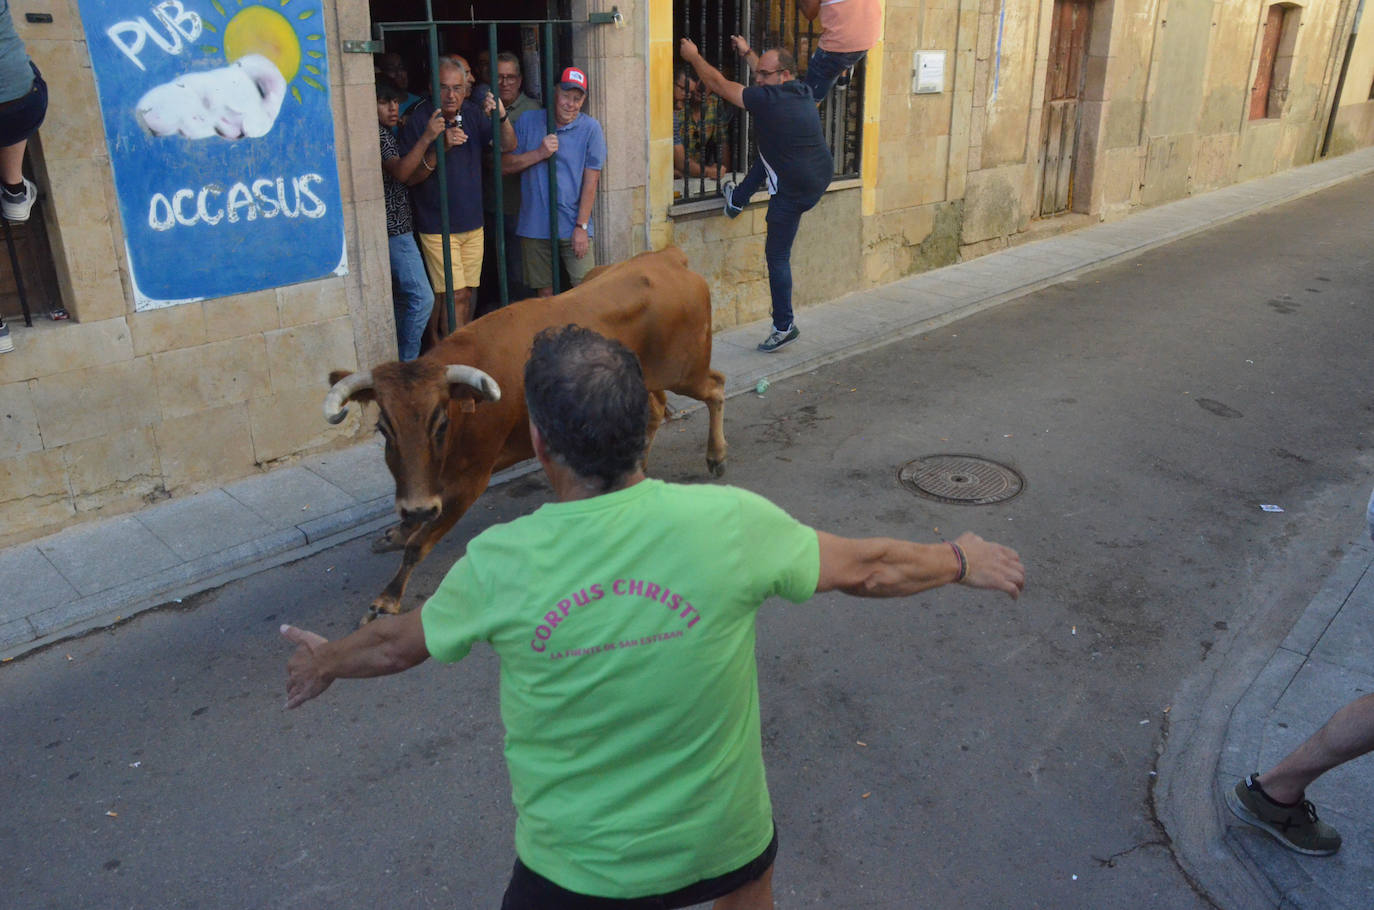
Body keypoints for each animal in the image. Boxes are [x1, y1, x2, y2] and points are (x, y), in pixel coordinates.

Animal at [322, 247, 730, 626]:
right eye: (384, 428)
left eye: (440, 423)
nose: (419, 509)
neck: (465, 412)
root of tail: (666, 258)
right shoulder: (424, 484)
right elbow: (410, 516)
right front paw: (396, 532)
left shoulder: (470, 481)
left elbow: (418, 545)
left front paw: (386, 598)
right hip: (644, 385)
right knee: (657, 411)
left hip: (687, 370)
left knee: (716, 387)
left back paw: (716, 455)